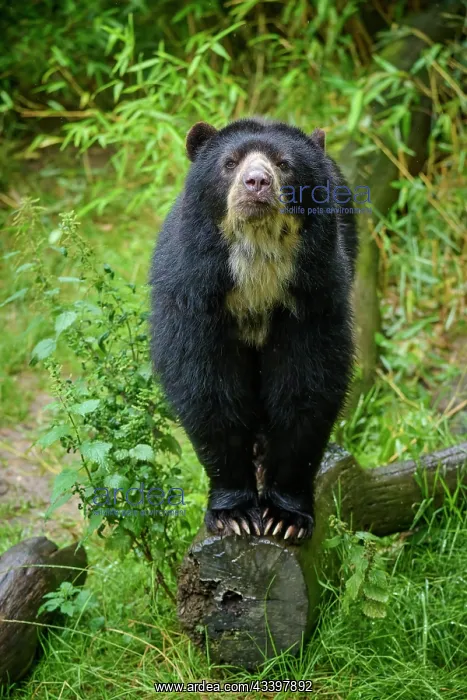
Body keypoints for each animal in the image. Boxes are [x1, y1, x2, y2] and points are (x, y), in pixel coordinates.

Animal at [149, 117, 358, 543]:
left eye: (284, 164)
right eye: (229, 163)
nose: (256, 182)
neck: (257, 263)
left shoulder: (315, 296)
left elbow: (307, 386)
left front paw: (285, 517)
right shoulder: (195, 295)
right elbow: (206, 388)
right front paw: (235, 513)